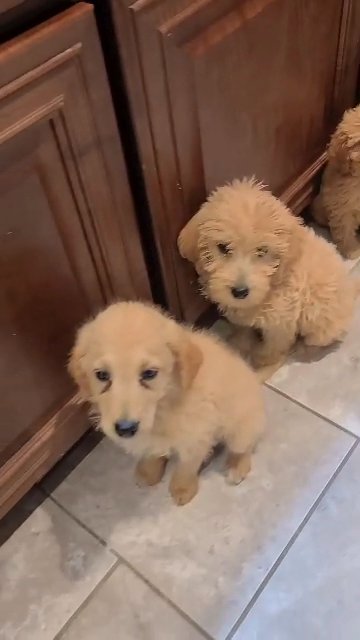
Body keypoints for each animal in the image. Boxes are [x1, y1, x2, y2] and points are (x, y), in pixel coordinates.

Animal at [68, 300, 264, 504]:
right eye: (102, 375)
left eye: (149, 373)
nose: (125, 428)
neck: (164, 404)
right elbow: (153, 452)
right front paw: (149, 471)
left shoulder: (196, 436)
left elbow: (186, 467)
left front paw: (182, 488)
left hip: (240, 430)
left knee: (245, 447)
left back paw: (237, 466)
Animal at [177, 180, 358, 370]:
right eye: (223, 247)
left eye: (262, 251)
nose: (240, 292)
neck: (270, 285)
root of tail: (351, 287)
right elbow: (242, 329)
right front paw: (239, 343)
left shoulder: (282, 320)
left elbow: (275, 343)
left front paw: (264, 359)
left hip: (321, 323)